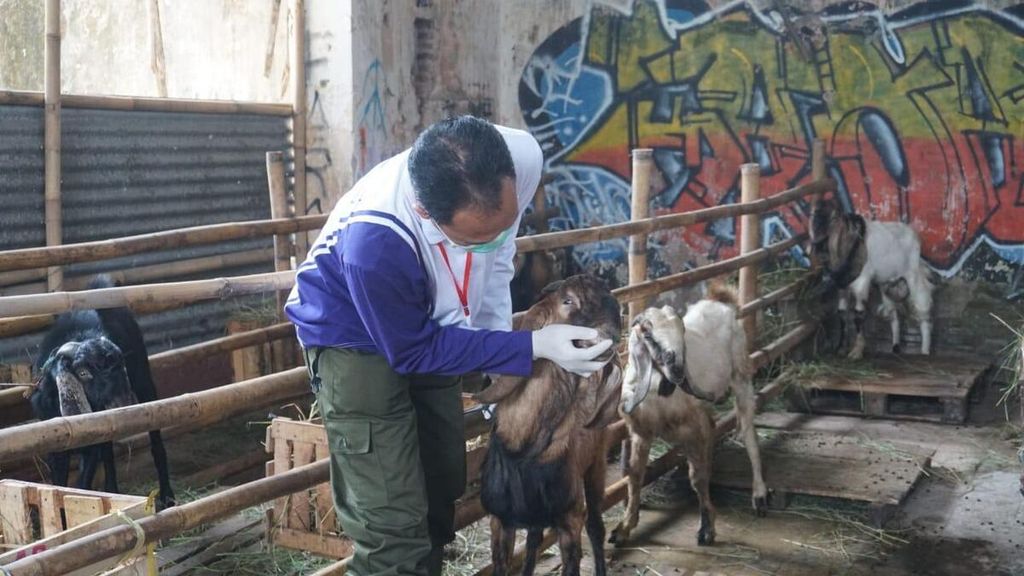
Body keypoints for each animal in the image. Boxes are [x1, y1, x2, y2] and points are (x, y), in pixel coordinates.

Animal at [30, 276, 176, 504]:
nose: (121, 402)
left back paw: (167, 495)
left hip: (143, 378)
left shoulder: (90, 445)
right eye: (82, 372)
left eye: (120, 365)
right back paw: (112, 489)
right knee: (108, 452)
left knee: (155, 437)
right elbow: (59, 483)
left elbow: (82, 484)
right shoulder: (56, 446)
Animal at [473, 272, 622, 573]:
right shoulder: (499, 521)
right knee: (534, 539)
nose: (612, 336)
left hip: (596, 464)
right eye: (568, 301)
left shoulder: (569, 523)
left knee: (596, 527)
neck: (524, 452)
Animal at [602, 284, 765, 545]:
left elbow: (696, 477)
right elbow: (635, 476)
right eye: (648, 335)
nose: (678, 370)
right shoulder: (641, 433)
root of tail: (720, 301)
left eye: (682, 331)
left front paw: (707, 528)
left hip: (741, 374)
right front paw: (624, 527)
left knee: (750, 431)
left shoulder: (693, 429)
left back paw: (759, 496)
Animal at [806, 199, 937, 356]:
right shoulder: (842, 286)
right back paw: (895, 347)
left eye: (833, 219)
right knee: (893, 314)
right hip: (886, 283)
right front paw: (840, 347)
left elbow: (858, 314)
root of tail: (914, 234)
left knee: (922, 308)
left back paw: (925, 350)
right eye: (811, 216)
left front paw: (857, 350)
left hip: (913, 275)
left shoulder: (861, 282)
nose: (816, 244)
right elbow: (841, 314)